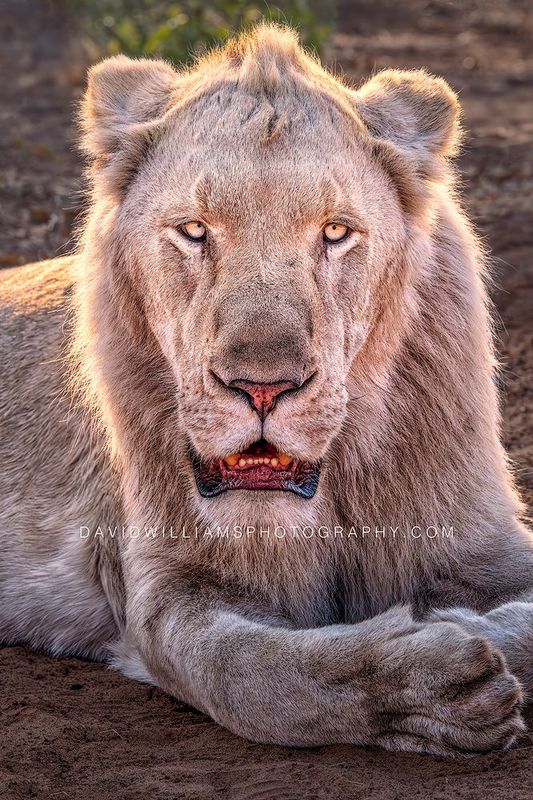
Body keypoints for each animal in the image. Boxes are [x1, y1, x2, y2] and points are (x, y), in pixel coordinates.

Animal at [0, 24, 532, 757]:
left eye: (336, 232)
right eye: (193, 230)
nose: (261, 388)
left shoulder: (484, 537)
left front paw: (460, 631)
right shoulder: (169, 588)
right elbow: (258, 675)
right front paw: (432, 675)